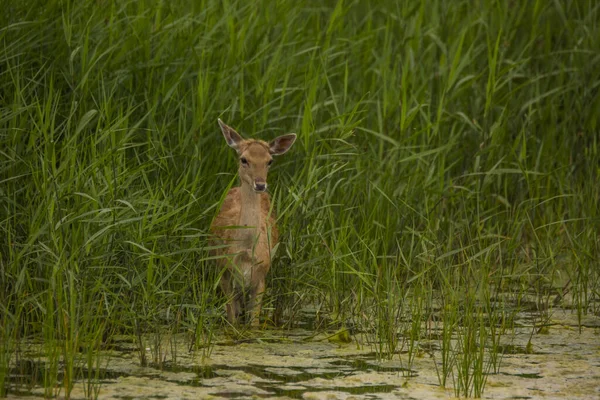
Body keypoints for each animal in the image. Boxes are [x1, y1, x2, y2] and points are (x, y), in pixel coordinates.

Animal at [210, 119, 296, 328]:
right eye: (244, 159)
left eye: (269, 161)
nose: (260, 184)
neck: (246, 251)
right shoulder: (225, 274)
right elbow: (231, 321)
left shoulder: (261, 277)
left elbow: (254, 324)